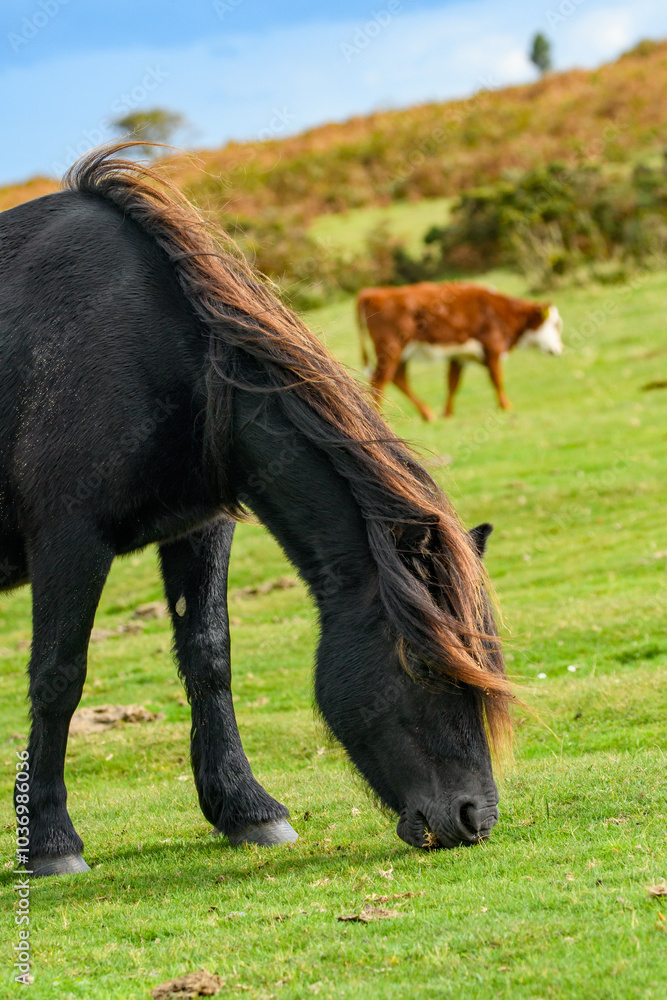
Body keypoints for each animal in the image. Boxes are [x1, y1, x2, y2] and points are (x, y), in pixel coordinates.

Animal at [0, 144, 510, 877]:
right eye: (418, 665)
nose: (473, 817)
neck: (141, 348)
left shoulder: (198, 527)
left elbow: (209, 660)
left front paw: (247, 810)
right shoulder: (69, 541)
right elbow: (58, 678)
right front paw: (50, 842)